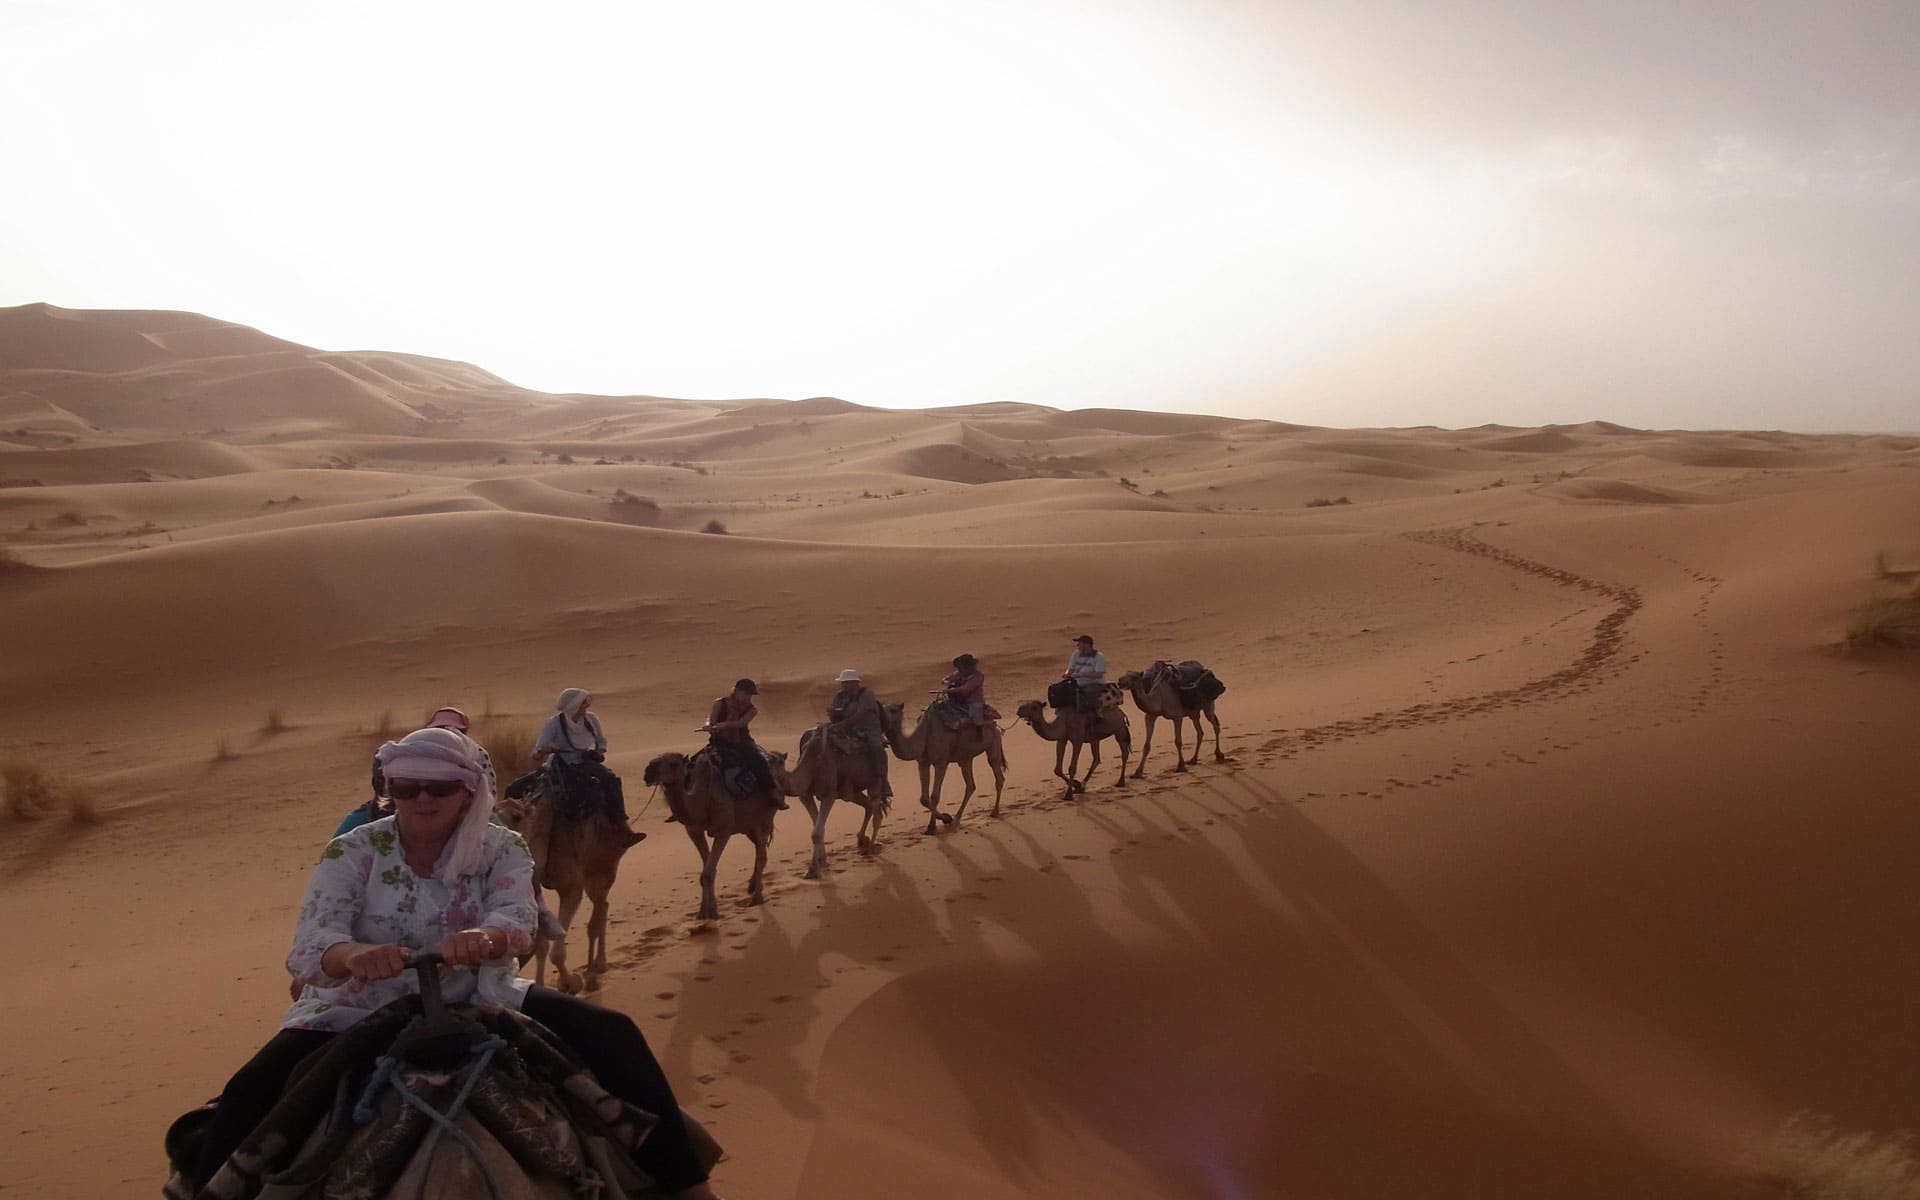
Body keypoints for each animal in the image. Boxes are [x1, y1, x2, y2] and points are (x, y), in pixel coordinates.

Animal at [491, 775, 633, 990]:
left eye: (517, 816)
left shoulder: (571, 888)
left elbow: (557, 952)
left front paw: (570, 983)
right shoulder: (534, 885)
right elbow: (541, 946)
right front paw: (541, 984)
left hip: (605, 866)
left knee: (599, 910)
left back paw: (596, 968)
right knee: (604, 905)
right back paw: (594, 966)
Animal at [645, 748, 794, 917]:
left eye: (673, 764)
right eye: (653, 760)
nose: (648, 772)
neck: (701, 799)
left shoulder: (724, 829)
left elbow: (708, 873)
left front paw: (709, 913)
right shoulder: (694, 831)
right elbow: (706, 870)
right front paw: (707, 910)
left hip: (764, 817)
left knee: (762, 855)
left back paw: (757, 898)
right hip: (748, 826)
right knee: (759, 850)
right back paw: (752, 886)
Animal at [798, 698, 910, 875]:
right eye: (892, 710)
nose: (891, 721)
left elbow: (817, 829)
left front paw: (815, 866)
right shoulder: (811, 794)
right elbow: (817, 827)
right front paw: (818, 864)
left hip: (857, 788)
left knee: (872, 808)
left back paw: (867, 843)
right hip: (852, 789)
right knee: (870, 807)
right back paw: (863, 841)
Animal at [898, 698, 1013, 829]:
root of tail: (996, 725)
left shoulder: (941, 762)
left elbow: (935, 796)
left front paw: (933, 826)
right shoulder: (923, 762)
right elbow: (924, 799)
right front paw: (945, 818)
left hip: (994, 743)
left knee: (996, 774)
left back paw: (994, 812)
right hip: (966, 757)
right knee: (971, 785)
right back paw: (957, 818)